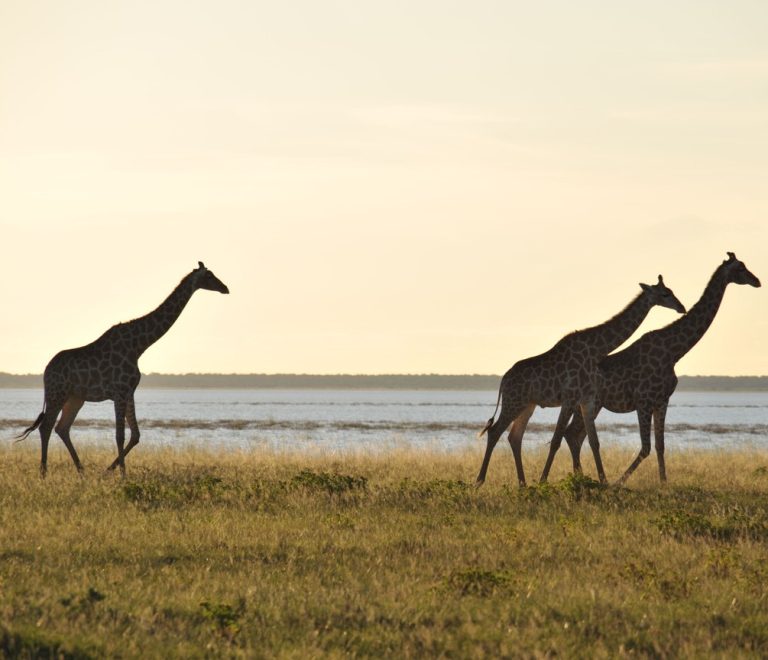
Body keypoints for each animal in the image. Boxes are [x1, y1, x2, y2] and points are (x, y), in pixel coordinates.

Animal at [17, 262, 229, 477]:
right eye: (209, 276)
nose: (225, 288)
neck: (138, 346)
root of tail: (46, 371)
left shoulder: (129, 391)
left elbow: (135, 435)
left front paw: (110, 470)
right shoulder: (119, 391)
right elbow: (120, 434)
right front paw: (123, 475)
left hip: (75, 397)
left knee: (62, 427)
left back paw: (81, 471)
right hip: (57, 393)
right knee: (46, 427)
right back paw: (44, 473)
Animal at [476, 276, 685, 487]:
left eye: (672, 291)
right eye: (665, 294)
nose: (681, 307)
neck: (596, 350)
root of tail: (503, 380)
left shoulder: (587, 399)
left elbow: (593, 441)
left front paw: (603, 482)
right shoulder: (570, 397)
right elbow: (556, 440)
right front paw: (543, 481)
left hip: (527, 405)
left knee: (514, 436)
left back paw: (522, 484)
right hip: (513, 402)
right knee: (495, 432)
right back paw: (480, 481)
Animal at [539, 253, 761, 485]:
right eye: (741, 268)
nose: (757, 281)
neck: (674, 352)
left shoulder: (662, 400)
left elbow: (660, 446)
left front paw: (663, 483)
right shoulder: (644, 401)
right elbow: (646, 448)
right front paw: (619, 483)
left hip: (587, 404)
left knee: (574, 435)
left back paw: (582, 477)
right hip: (588, 403)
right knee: (573, 434)